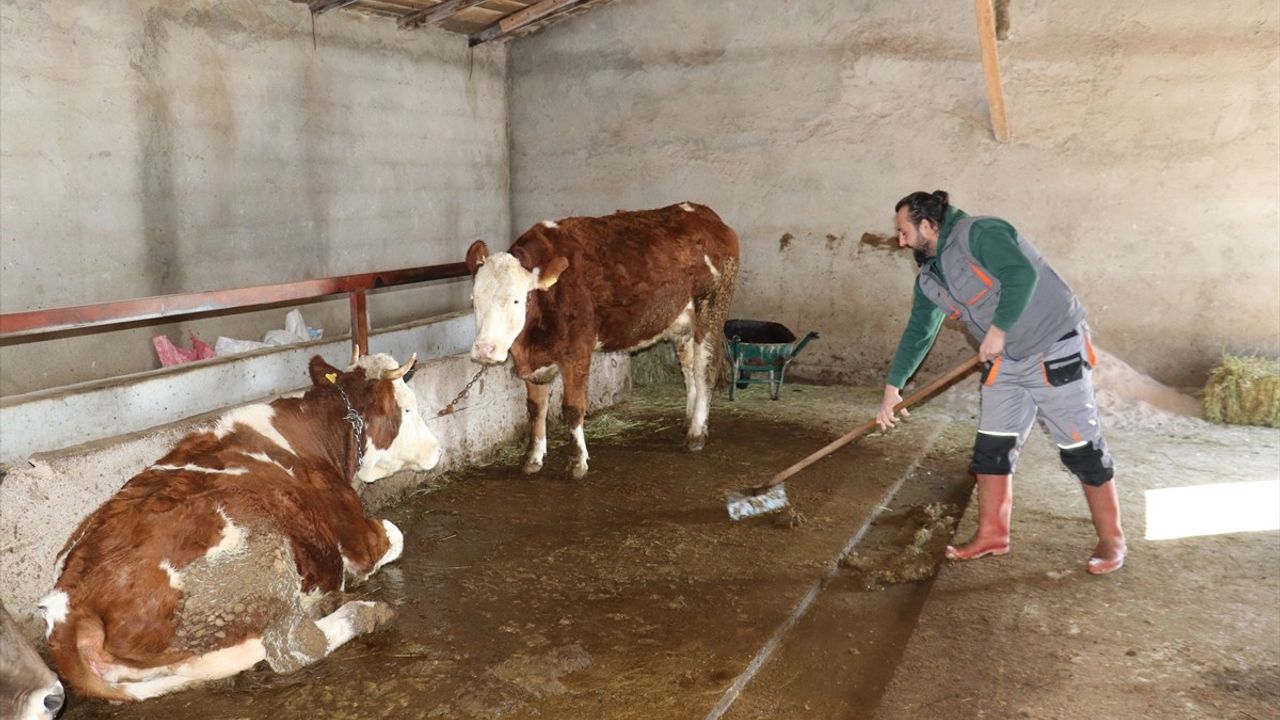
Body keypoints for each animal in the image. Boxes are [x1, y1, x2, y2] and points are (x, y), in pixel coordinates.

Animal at [41, 353, 440, 702]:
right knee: (292, 649)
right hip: (261, 554)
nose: (438, 449)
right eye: (408, 408)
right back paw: (362, 612)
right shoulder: (359, 540)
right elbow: (396, 535)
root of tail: (70, 607)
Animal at [468, 199, 742, 476]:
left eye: (516, 299)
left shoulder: (577, 351)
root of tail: (703, 213)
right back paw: (689, 422)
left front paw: (578, 461)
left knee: (704, 370)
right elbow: (536, 408)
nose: (484, 349)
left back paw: (697, 433)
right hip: (681, 322)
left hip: (712, 309)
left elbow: (572, 407)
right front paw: (533, 457)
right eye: (474, 299)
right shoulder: (536, 361)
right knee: (688, 370)